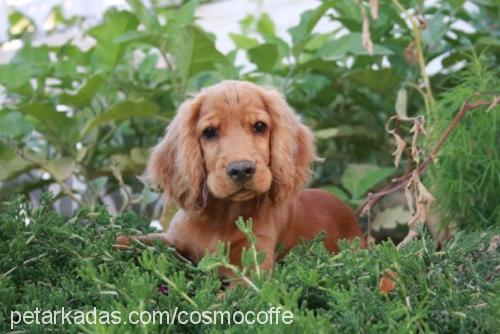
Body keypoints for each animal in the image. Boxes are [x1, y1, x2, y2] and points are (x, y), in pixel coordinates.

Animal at [117, 81, 368, 274]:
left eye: (259, 126)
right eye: (209, 132)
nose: (241, 170)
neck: (222, 217)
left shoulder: (252, 270)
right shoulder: (175, 241)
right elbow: (137, 239)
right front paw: (117, 240)